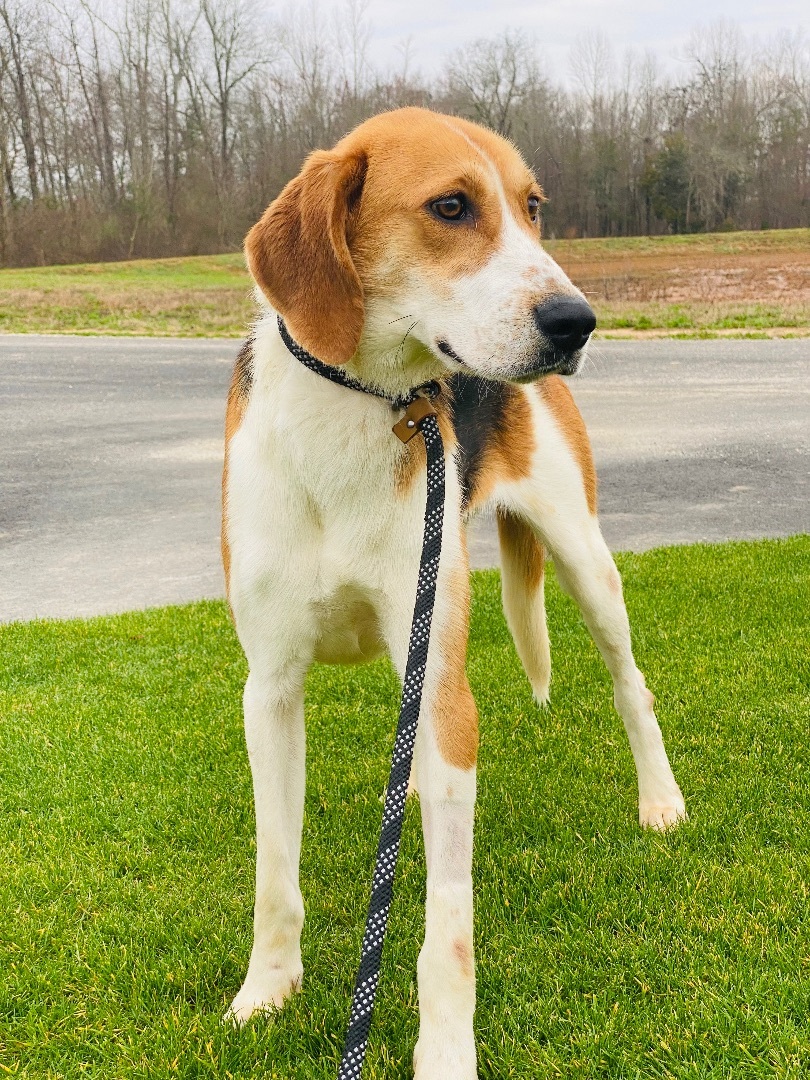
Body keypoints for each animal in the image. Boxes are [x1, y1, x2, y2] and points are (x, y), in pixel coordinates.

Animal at [222, 109, 686, 1080]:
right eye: (450, 206)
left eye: (533, 206)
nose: (577, 322)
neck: (361, 409)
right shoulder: (269, 690)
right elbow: (275, 869)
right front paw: (268, 988)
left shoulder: (438, 687)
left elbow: (448, 926)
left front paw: (443, 1051)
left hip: (587, 563)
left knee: (632, 687)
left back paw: (660, 801)